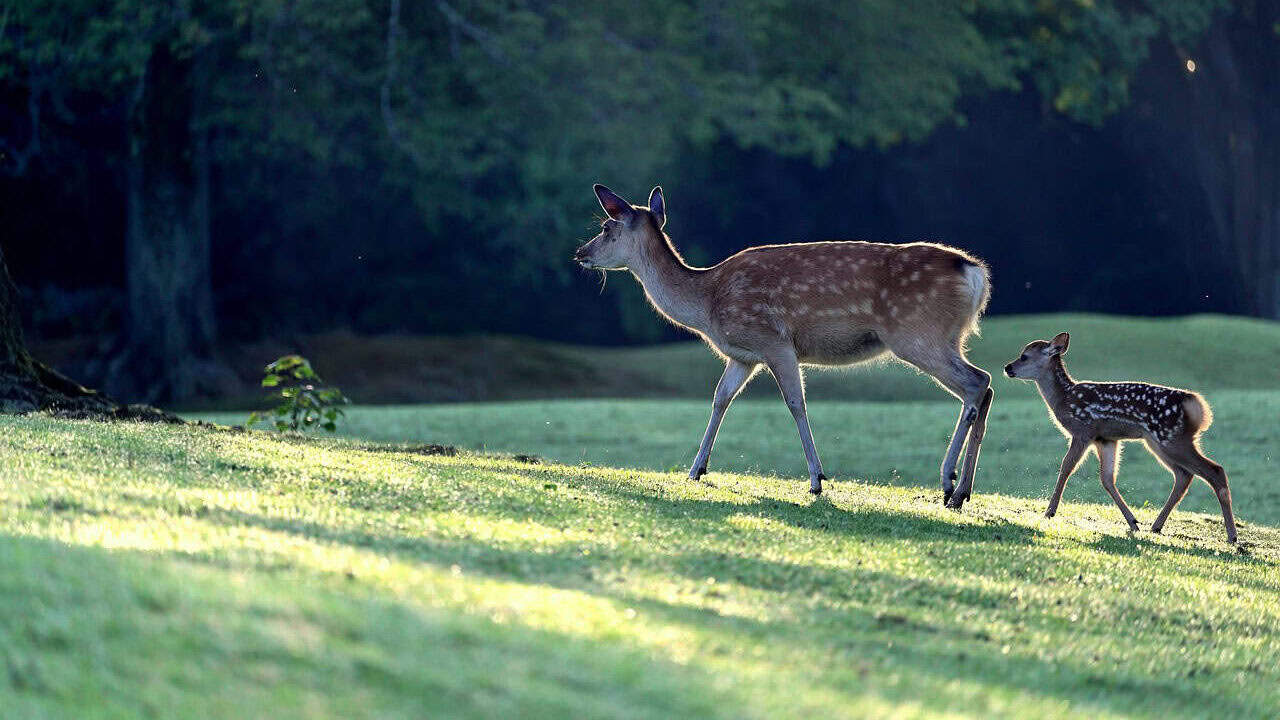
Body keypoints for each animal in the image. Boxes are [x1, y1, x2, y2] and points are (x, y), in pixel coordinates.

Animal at [574, 184, 994, 507]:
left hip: (917, 334)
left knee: (977, 383)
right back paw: (963, 492)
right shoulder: (742, 356)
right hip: (945, 338)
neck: (708, 302)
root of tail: (975, 274)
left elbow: (795, 402)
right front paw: (695, 469)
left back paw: (948, 483)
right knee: (985, 385)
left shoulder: (773, 341)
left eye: (607, 227)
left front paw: (817, 480)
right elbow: (720, 399)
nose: (580, 254)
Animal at [1004, 332, 1236, 542]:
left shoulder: (1083, 430)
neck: (1064, 399)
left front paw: (1049, 512)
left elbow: (1066, 466)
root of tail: (1197, 406)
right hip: (1158, 441)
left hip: (1171, 438)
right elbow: (1107, 478)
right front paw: (1133, 523)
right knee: (1183, 475)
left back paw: (1232, 536)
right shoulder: (1106, 439)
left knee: (1214, 470)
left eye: (1024, 356)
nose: (1007, 367)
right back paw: (1155, 526)